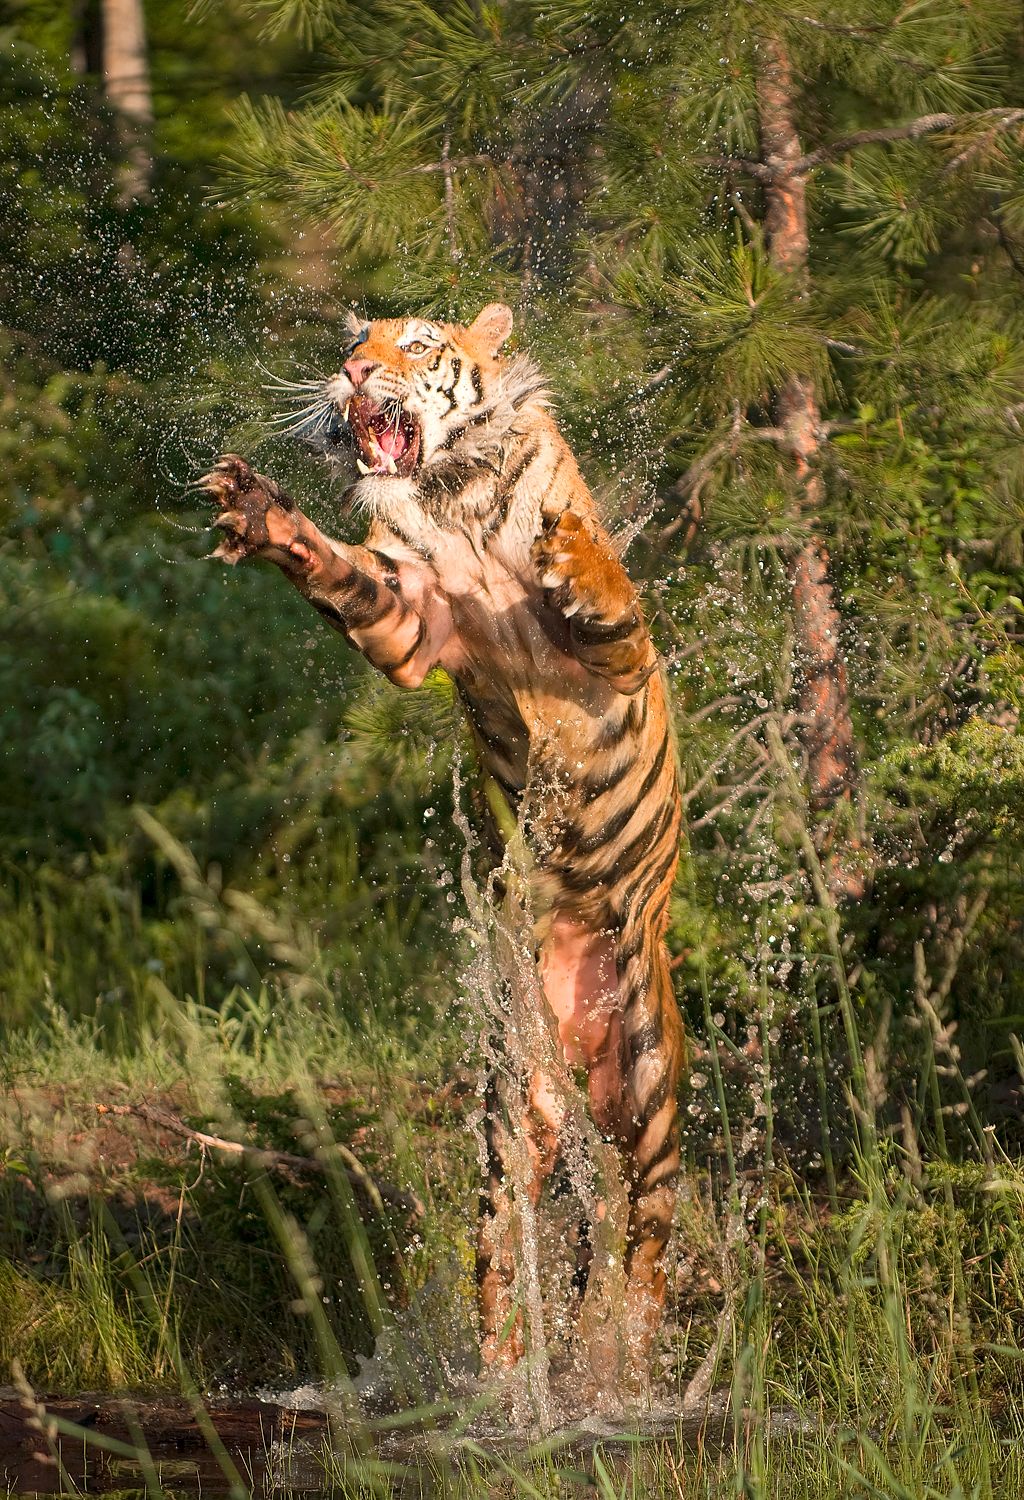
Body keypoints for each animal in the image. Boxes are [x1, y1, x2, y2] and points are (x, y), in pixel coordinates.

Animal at [202, 303, 684, 1389]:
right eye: (354, 341)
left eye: (415, 343)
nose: (352, 375)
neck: (453, 497)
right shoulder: (410, 620)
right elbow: (339, 567)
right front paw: (259, 511)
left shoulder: (614, 650)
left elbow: (601, 587)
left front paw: (569, 554)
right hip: (511, 1108)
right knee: (508, 1253)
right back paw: (505, 1390)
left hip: (646, 1084)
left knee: (647, 1234)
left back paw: (624, 1366)